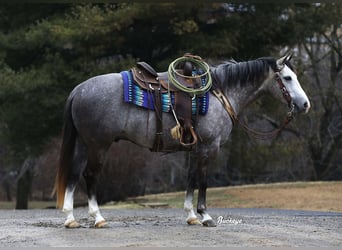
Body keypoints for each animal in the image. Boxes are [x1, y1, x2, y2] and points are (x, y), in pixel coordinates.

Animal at [54, 54, 310, 229]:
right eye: (288, 78)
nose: (305, 104)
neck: (219, 93)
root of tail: (79, 89)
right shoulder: (209, 147)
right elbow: (203, 180)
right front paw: (205, 216)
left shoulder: (194, 149)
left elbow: (191, 178)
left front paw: (191, 216)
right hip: (99, 145)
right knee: (90, 176)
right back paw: (98, 218)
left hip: (84, 144)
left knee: (74, 175)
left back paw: (70, 219)